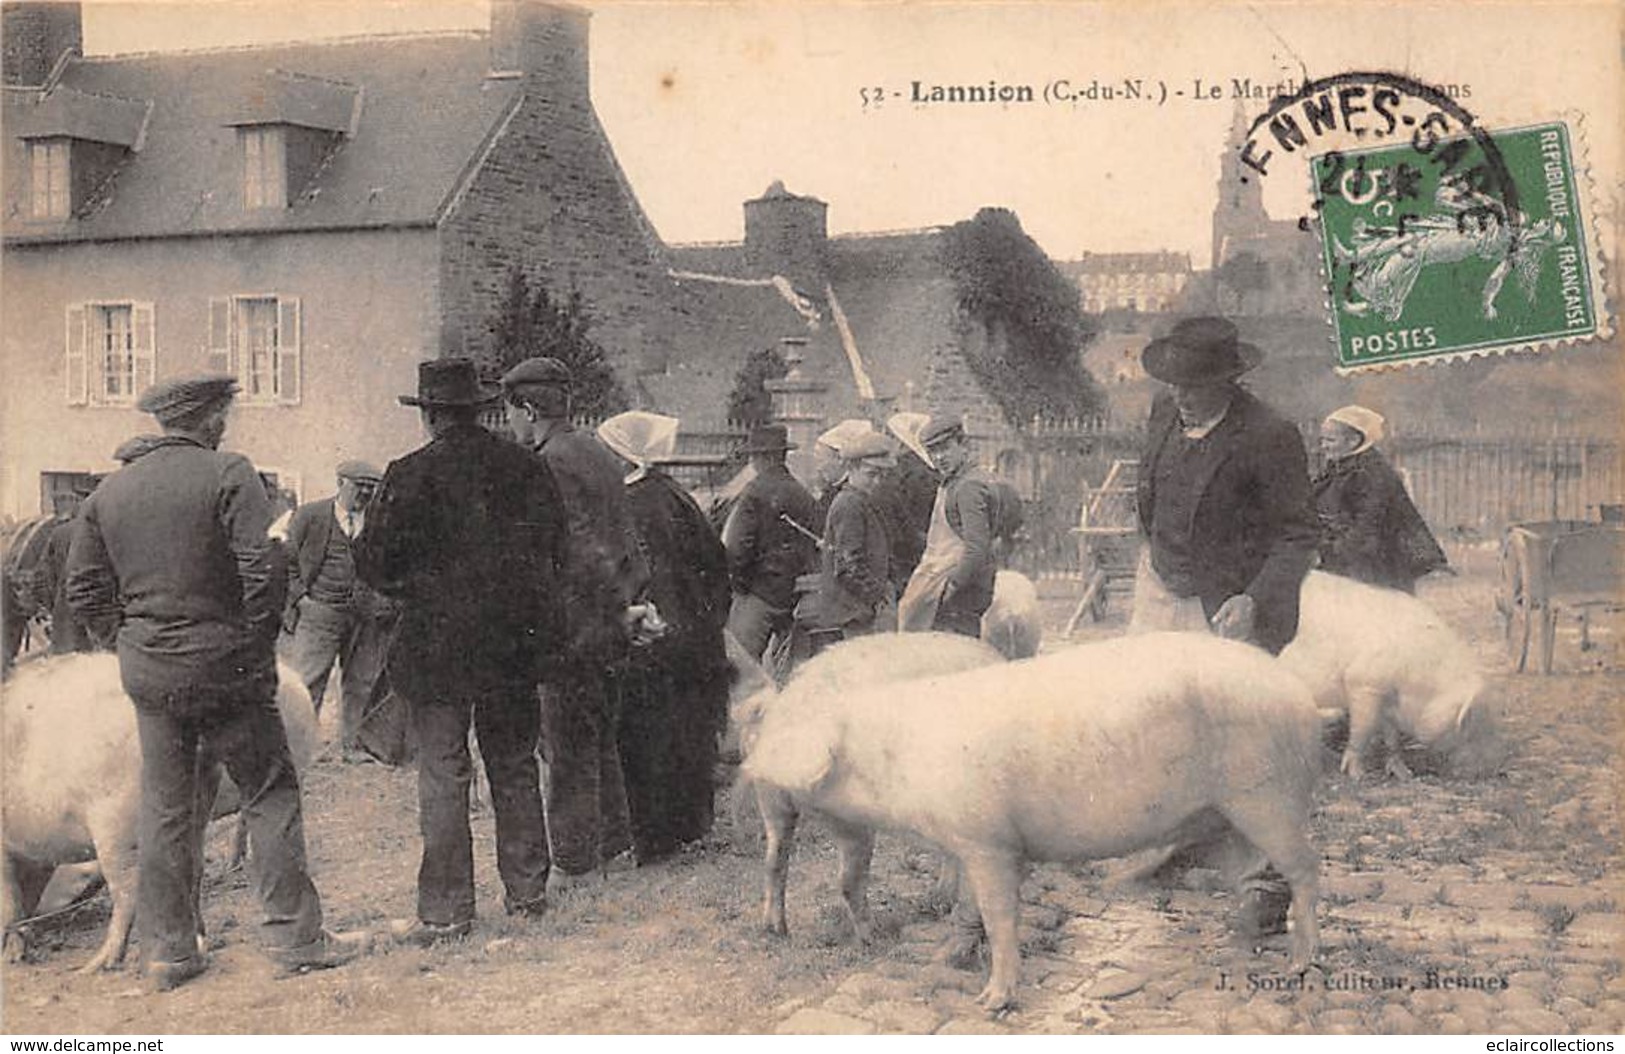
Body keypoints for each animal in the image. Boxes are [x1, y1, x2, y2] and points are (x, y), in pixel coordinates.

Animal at [1, 656, 316, 967]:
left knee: (128, 892)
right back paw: (201, 939)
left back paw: (98, 965)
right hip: (200, 800)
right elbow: (22, 898)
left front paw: (11, 957)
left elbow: (10, 901)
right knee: (194, 868)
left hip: (116, 825)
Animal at [734, 630, 1007, 941]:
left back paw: (776, 929)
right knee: (847, 879)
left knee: (773, 861)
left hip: (771, 800)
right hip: (849, 812)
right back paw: (874, 935)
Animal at [1274, 568, 1501, 779]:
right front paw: (1357, 775)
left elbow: (1392, 737)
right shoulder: (1363, 683)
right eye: (1471, 727)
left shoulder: (1388, 700)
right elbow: (1363, 729)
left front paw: (1404, 774)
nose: (1490, 770)